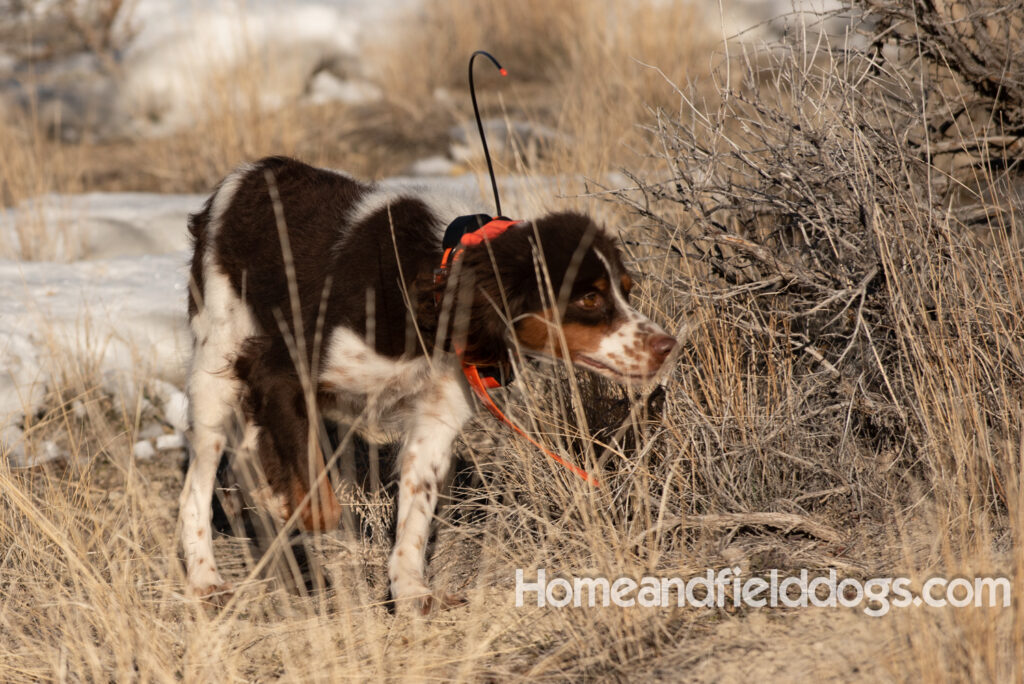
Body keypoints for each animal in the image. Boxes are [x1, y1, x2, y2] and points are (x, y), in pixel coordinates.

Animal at [180, 156, 675, 614]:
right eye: (589, 298)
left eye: (626, 289)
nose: (667, 345)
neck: (436, 284)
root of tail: (244, 175)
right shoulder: (278, 369)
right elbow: (318, 502)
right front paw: (282, 505)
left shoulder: (437, 419)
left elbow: (414, 513)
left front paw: (411, 590)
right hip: (214, 370)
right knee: (197, 486)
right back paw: (206, 578)